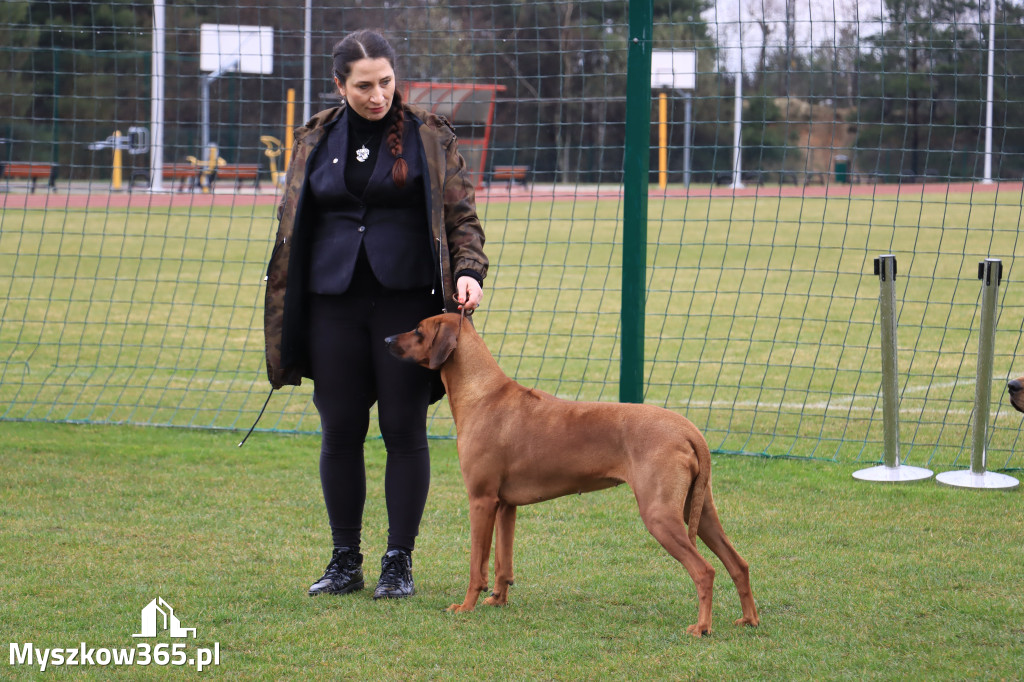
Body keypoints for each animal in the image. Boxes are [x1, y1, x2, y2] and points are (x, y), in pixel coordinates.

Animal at [385, 311, 761, 634]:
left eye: (418, 330)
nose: (387, 339)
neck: (482, 393)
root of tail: (689, 429)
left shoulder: (481, 500)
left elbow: (477, 565)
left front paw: (466, 606)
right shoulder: (506, 506)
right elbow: (504, 564)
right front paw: (498, 600)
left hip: (660, 514)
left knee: (705, 570)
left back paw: (702, 627)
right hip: (699, 509)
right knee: (738, 564)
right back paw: (749, 619)